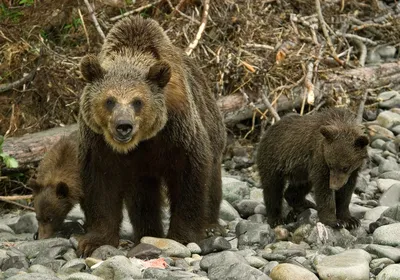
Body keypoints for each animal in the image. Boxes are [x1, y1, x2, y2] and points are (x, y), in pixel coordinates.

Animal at [75, 15, 225, 256]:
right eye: (109, 100)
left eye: (138, 101)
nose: (123, 126)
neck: (141, 142)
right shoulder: (98, 143)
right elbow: (101, 186)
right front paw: (93, 241)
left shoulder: (177, 132)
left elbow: (190, 178)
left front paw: (182, 237)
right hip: (142, 172)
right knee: (143, 197)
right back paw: (147, 234)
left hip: (212, 127)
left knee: (211, 180)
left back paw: (211, 226)